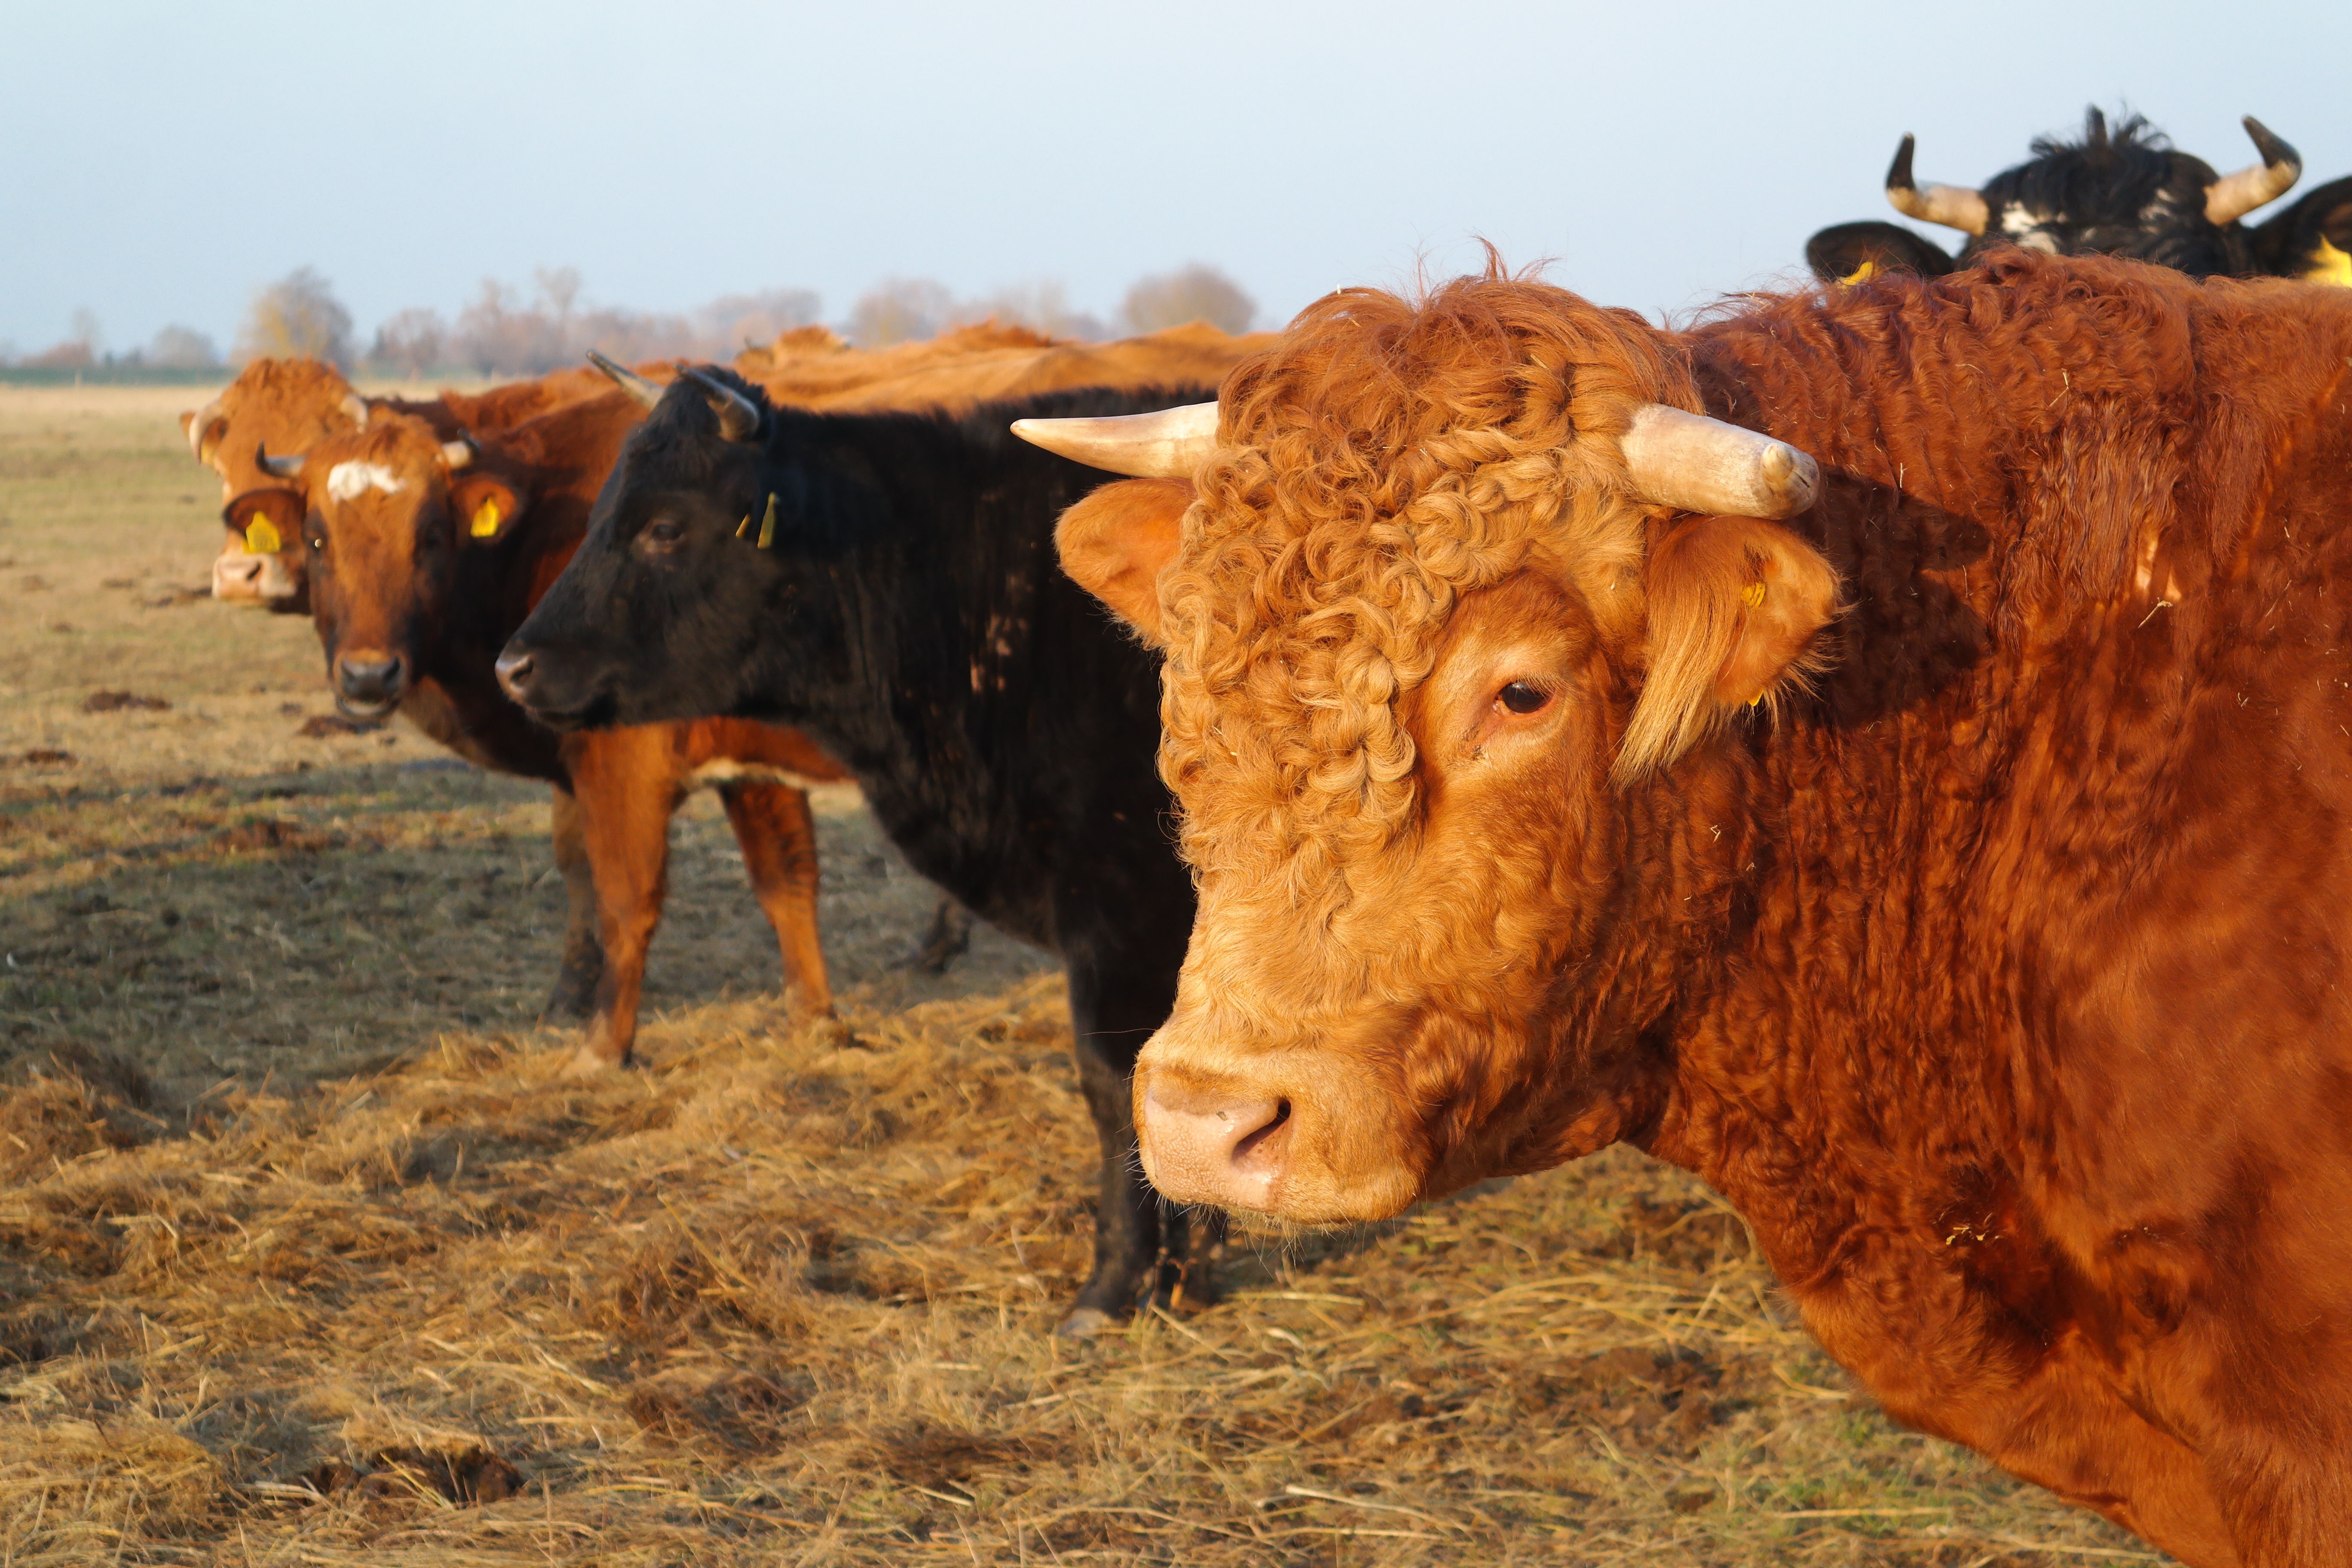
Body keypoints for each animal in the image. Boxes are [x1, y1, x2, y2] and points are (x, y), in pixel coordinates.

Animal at [233, 395, 846, 1070]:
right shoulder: (747, 768)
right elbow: (783, 881)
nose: (369, 674)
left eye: (430, 536)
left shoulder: (622, 764)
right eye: (317, 540)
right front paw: (815, 1018)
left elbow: (626, 899)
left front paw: (604, 1046)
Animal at [490, 374, 1227, 1333]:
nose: (514, 666)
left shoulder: (1118, 908)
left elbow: (1119, 1086)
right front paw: (1191, 1269)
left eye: (664, 527)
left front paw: (1114, 1284)